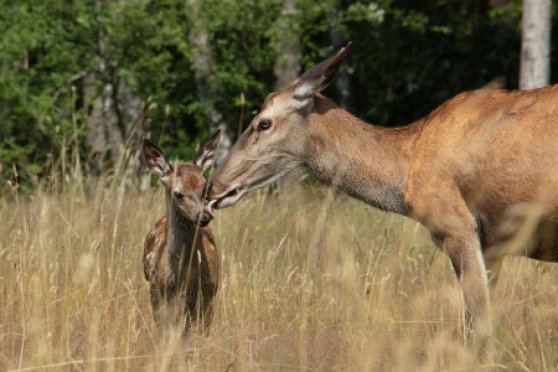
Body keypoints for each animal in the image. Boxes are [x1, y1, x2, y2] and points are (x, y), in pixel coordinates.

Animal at [143, 133, 220, 334]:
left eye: (206, 188)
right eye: (178, 193)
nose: (205, 216)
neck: (184, 276)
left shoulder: (206, 295)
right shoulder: (161, 295)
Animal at [208, 42, 558, 356]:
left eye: (263, 123)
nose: (214, 186)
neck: (406, 169)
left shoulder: (456, 224)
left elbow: (479, 319)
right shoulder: (493, 245)